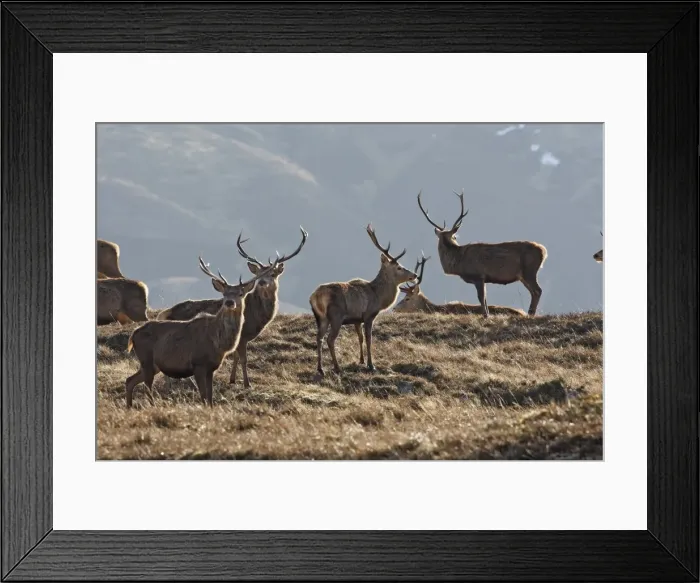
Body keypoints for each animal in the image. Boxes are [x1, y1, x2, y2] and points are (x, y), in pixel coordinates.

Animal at [125, 256, 278, 408]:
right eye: (224, 293)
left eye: (241, 294)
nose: (229, 302)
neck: (218, 342)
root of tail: (133, 335)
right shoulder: (198, 364)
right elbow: (204, 396)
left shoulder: (211, 368)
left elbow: (210, 397)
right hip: (146, 359)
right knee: (146, 386)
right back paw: (152, 405)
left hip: (153, 364)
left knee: (130, 380)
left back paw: (129, 406)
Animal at [158, 227, 309, 389]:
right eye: (258, 273)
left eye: (273, 274)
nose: (262, 282)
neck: (256, 316)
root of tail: (165, 313)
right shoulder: (242, 337)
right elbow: (243, 359)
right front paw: (247, 384)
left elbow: (236, 357)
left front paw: (232, 380)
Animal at [309, 224, 417, 380]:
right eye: (399, 267)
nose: (414, 275)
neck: (378, 296)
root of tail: (315, 297)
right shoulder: (369, 315)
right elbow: (369, 339)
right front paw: (371, 365)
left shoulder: (356, 319)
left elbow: (359, 338)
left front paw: (361, 360)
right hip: (336, 316)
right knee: (330, 339)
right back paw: (337, 368)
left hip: (321, 318)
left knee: (319, 338)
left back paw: (320, 369)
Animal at [416, 189, 548, 317]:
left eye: (455, 236)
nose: (454, 237)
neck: (458, 262)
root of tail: (544, 251)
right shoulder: (483, 279)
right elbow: (484, 299)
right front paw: (487, 314)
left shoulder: (478, 275)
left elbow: (481, 298)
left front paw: (485, 315)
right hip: (523, 275)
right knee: (533, 291)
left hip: (529, 270)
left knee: (538, 290)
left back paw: (531, 314)